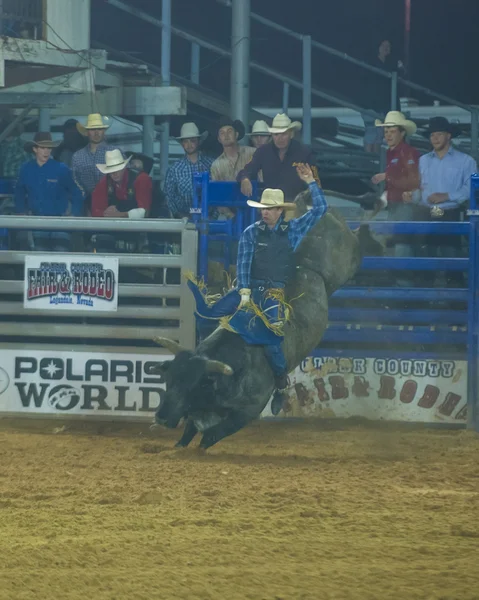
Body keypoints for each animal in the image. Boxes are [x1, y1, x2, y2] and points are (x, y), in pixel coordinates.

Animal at [154, 190, 364, 448]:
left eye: (192, 386)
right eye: (169, 379)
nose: (161, 417)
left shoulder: (248, 411)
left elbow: (212, 434)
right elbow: (189, 431)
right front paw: (178, 448)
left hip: (346, 261)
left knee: (355, 246)